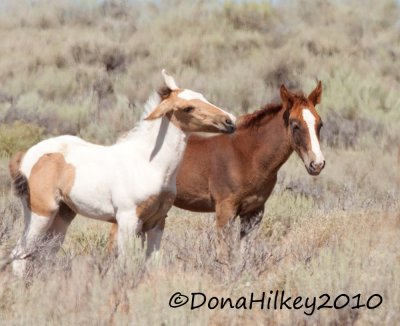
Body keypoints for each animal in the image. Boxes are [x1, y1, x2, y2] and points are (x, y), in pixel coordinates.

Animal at [108, 82, 324, 262]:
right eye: (295, 124)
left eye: (320, 124)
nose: (317, 164)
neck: (246, 155)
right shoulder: (225, 210)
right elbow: (224, 254)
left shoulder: (254, 211)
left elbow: (245, 254)